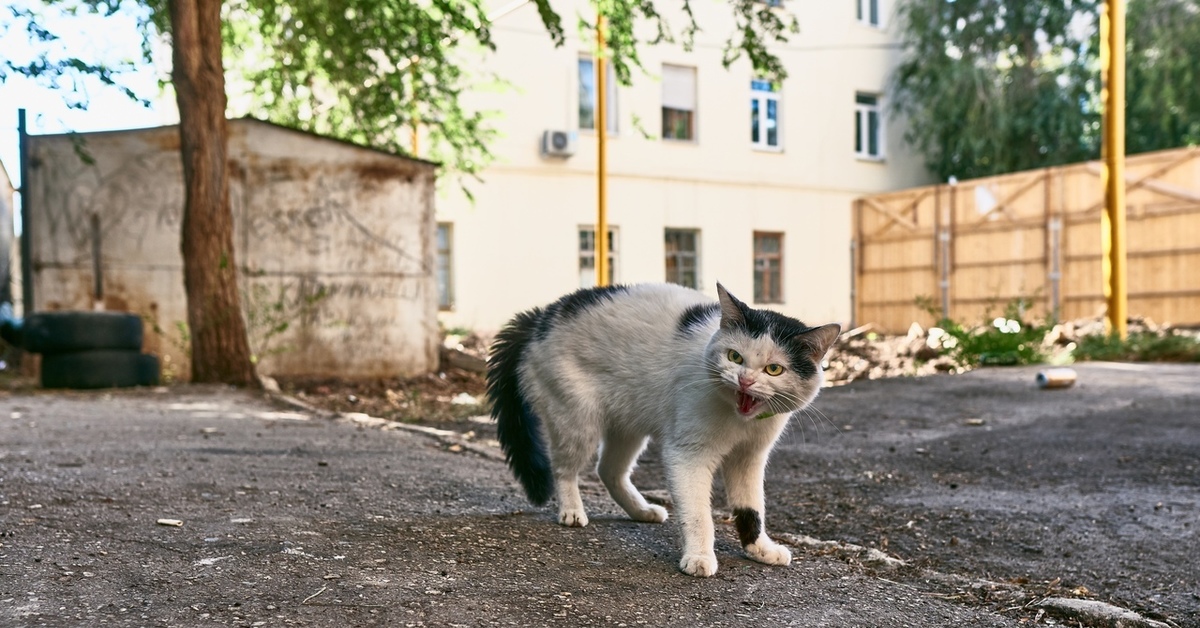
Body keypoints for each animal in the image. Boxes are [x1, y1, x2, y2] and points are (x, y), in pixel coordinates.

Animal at [482, 282, 840, 578]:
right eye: (735, 357)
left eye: (774, 369)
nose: (745, 381)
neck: (741, 421)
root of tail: (540, 319)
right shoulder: (687, 455)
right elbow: (698, 513)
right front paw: (699, 557)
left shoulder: (749, 458)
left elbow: (751, 508)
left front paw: (759, 549)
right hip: (576, 419)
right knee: (564, 468)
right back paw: (571, 510)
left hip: (628, 423)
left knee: (608, 470)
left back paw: (641, 510)